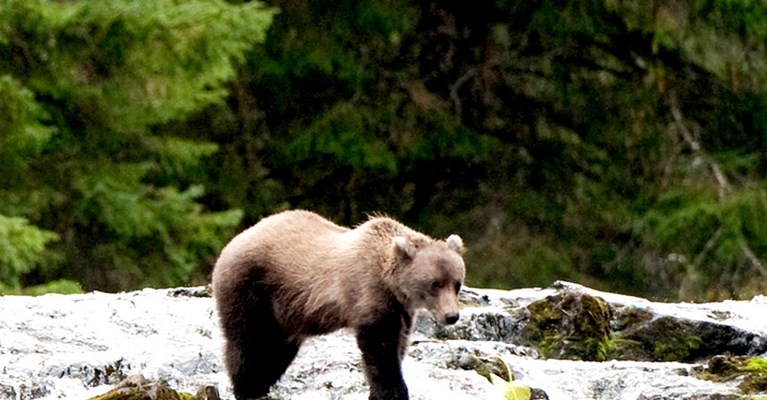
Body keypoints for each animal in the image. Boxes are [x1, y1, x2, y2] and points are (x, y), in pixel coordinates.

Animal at [213, 209, 472, 400]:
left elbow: (398, 344)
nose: (452, 316)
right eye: (435, 284)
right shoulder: (369, 294)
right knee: (246, 339)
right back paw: (247, 386)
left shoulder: (401, 310)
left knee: (277, 348)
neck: (391, 283)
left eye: (456, 283)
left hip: (285, 312)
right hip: (251, 286)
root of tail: (233, 241)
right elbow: (379, 348)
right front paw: (393, 391)